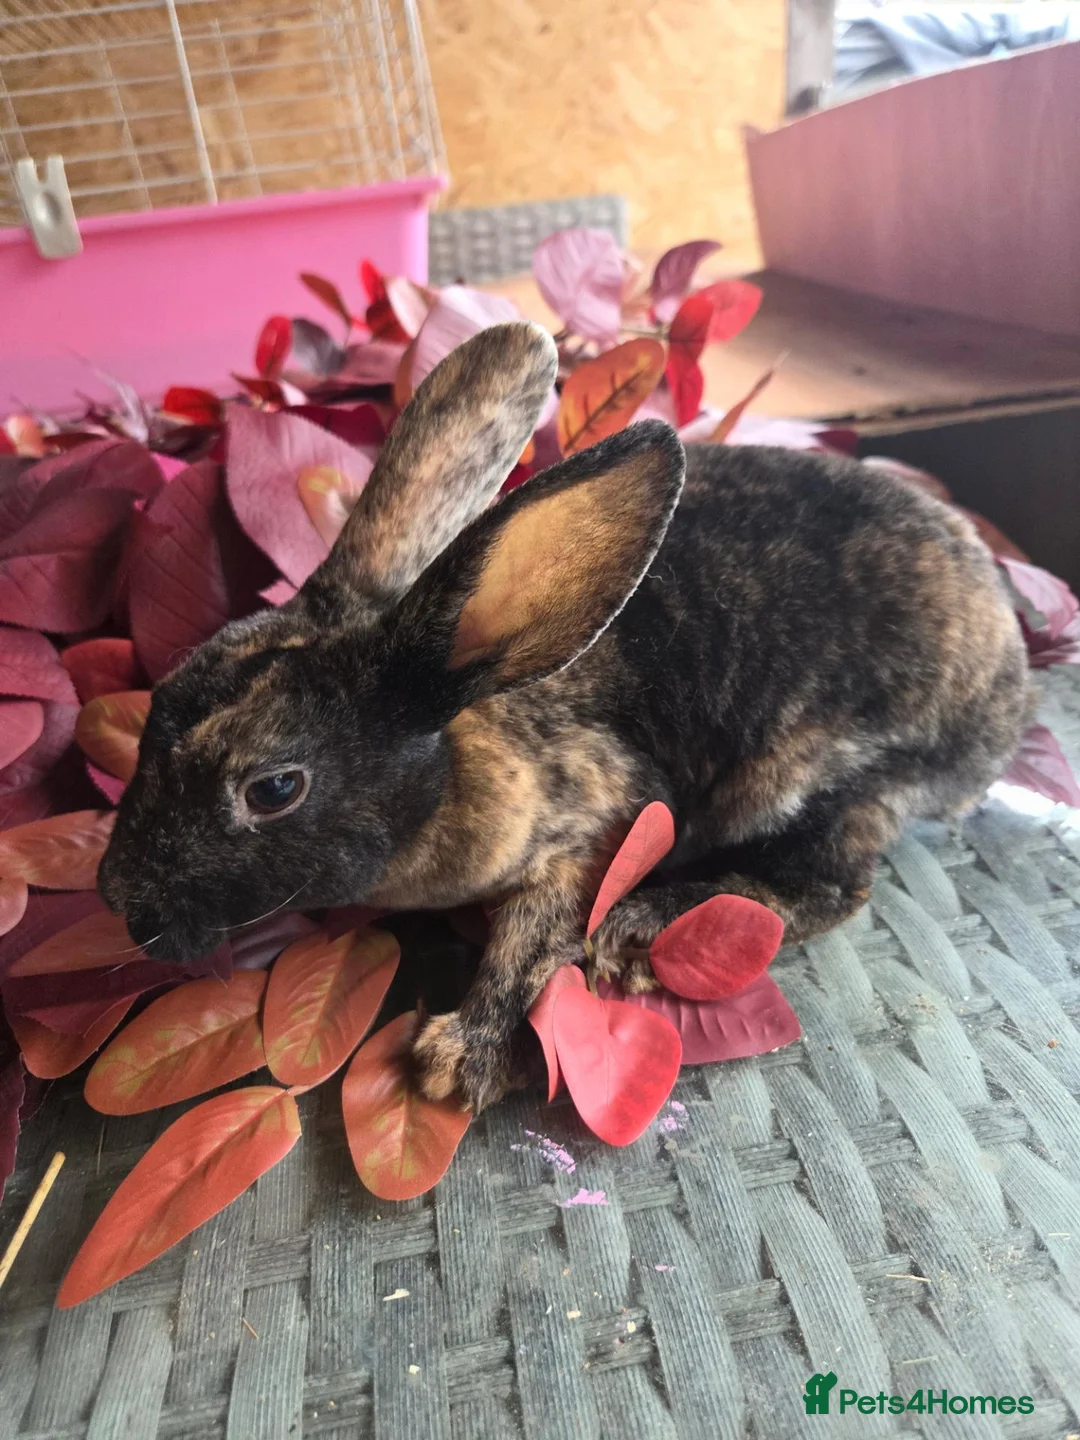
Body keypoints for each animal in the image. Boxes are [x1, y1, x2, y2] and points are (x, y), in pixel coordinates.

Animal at [98, 320, 1033, 1111]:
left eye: (273, 789)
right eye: (158, 703)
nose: (118, 900)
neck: (457, 718)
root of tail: (1008, 680)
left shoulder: (596, 820)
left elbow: (533, 934)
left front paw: (458, 1060)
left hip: (826, 777)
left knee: (835, 883)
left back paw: (648, 927)